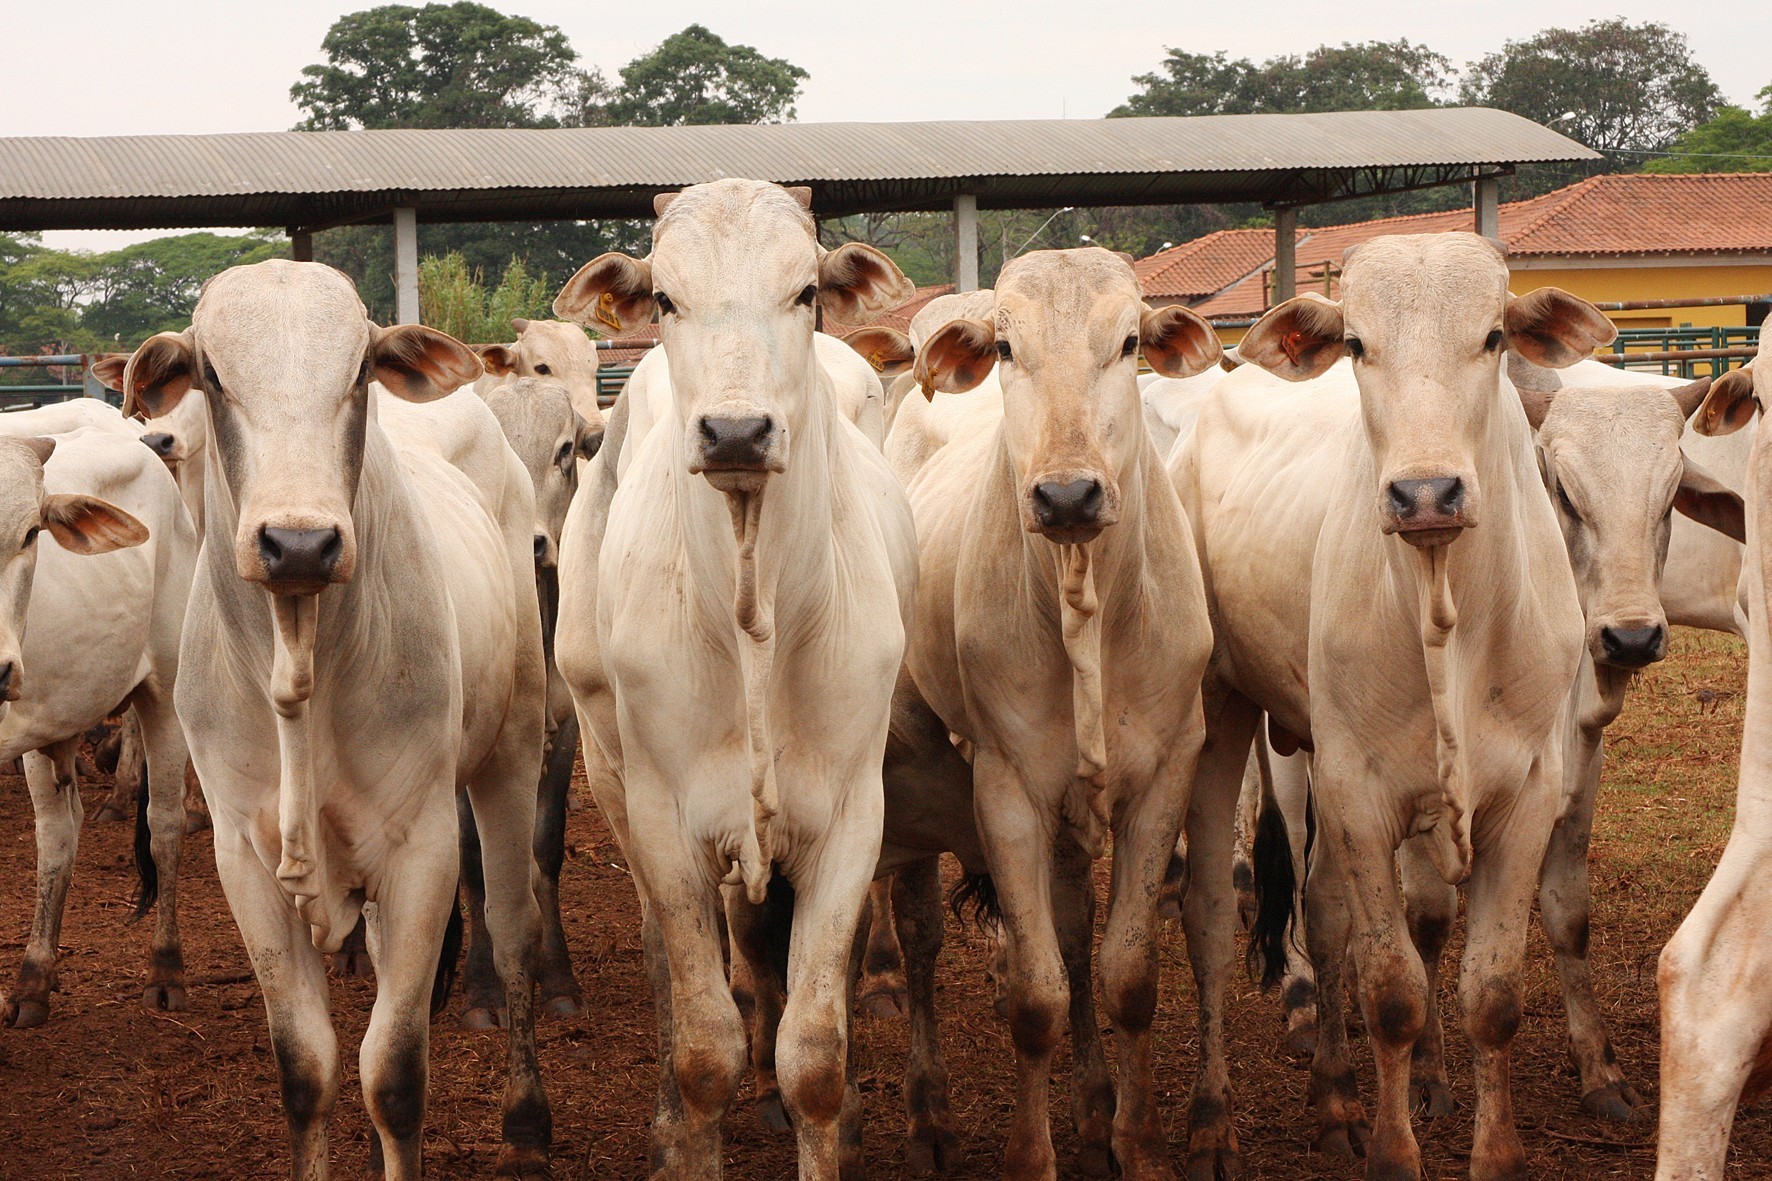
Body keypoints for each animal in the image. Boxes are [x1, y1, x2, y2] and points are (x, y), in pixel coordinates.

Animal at [0, 427, 194, 1028]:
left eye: (30, 533)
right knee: (58, 837)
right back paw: (34, 980)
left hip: (167, 694)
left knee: (164, 825)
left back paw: (165, 971)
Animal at [116, 260, 549, 1177]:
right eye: (212, 375)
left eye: (357, 372)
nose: (300, 543)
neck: (300, 662)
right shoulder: (243, 857)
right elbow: (306, 1068)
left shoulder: (423, 847)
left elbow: (394, 1074)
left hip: (513, 747)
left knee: (514, 928)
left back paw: (528, 1118)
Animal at [549, 177, 914, 1177]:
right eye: (668, 298)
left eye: (805, 291)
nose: (738, 432)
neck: (755, 617)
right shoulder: (664, 822)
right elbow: (705, 1045)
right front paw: (691, 1126)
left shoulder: (852, 815)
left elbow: (814, 1053)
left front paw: (828, 1112)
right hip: (608, 764)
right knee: (668, 958)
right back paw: (670, 1116)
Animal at [1176, 232, 1608, 1177]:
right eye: (1357, 344)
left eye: (1492, 336)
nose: (1425, 494)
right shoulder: (1361, 790)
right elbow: (1396, 993)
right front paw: (1394, 1151)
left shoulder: (1527, 792)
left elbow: (1492, 993)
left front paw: (1496, 1153)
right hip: (1224, 710)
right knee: (1213, 917)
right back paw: (1211, 1120)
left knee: (1326, 912)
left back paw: (1336, 1094)